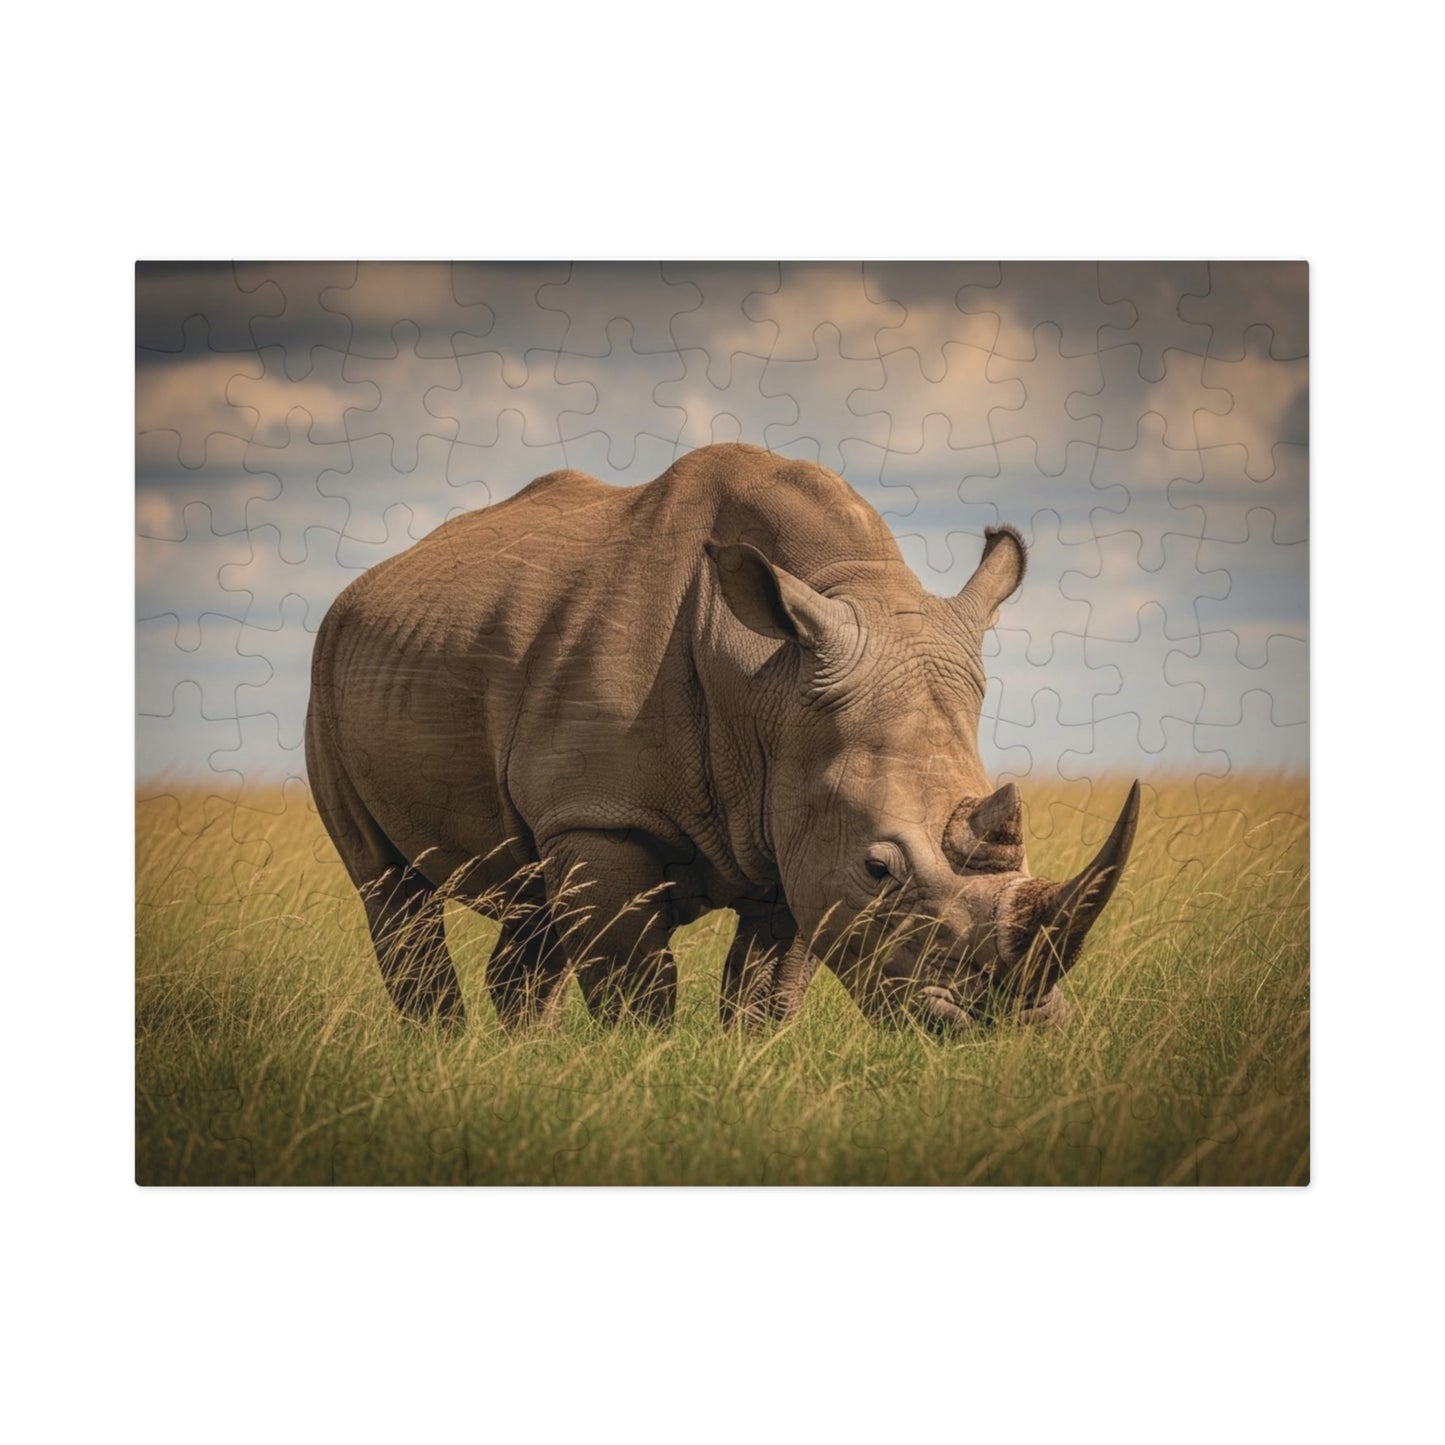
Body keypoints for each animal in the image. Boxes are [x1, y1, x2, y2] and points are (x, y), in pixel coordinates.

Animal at [306, 442, 1137, 1034]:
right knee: (390, 891)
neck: (770, 681)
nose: (1014, 1025)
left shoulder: (794, 821)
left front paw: (748, 1063)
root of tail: (366, 584)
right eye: (878, 869)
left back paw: (516, 1055)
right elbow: (635, 987)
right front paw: (639, 1067)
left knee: (531, 902)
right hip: (327, 668)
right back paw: (440, 1047)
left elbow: (767, 990)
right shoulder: (601, 814)